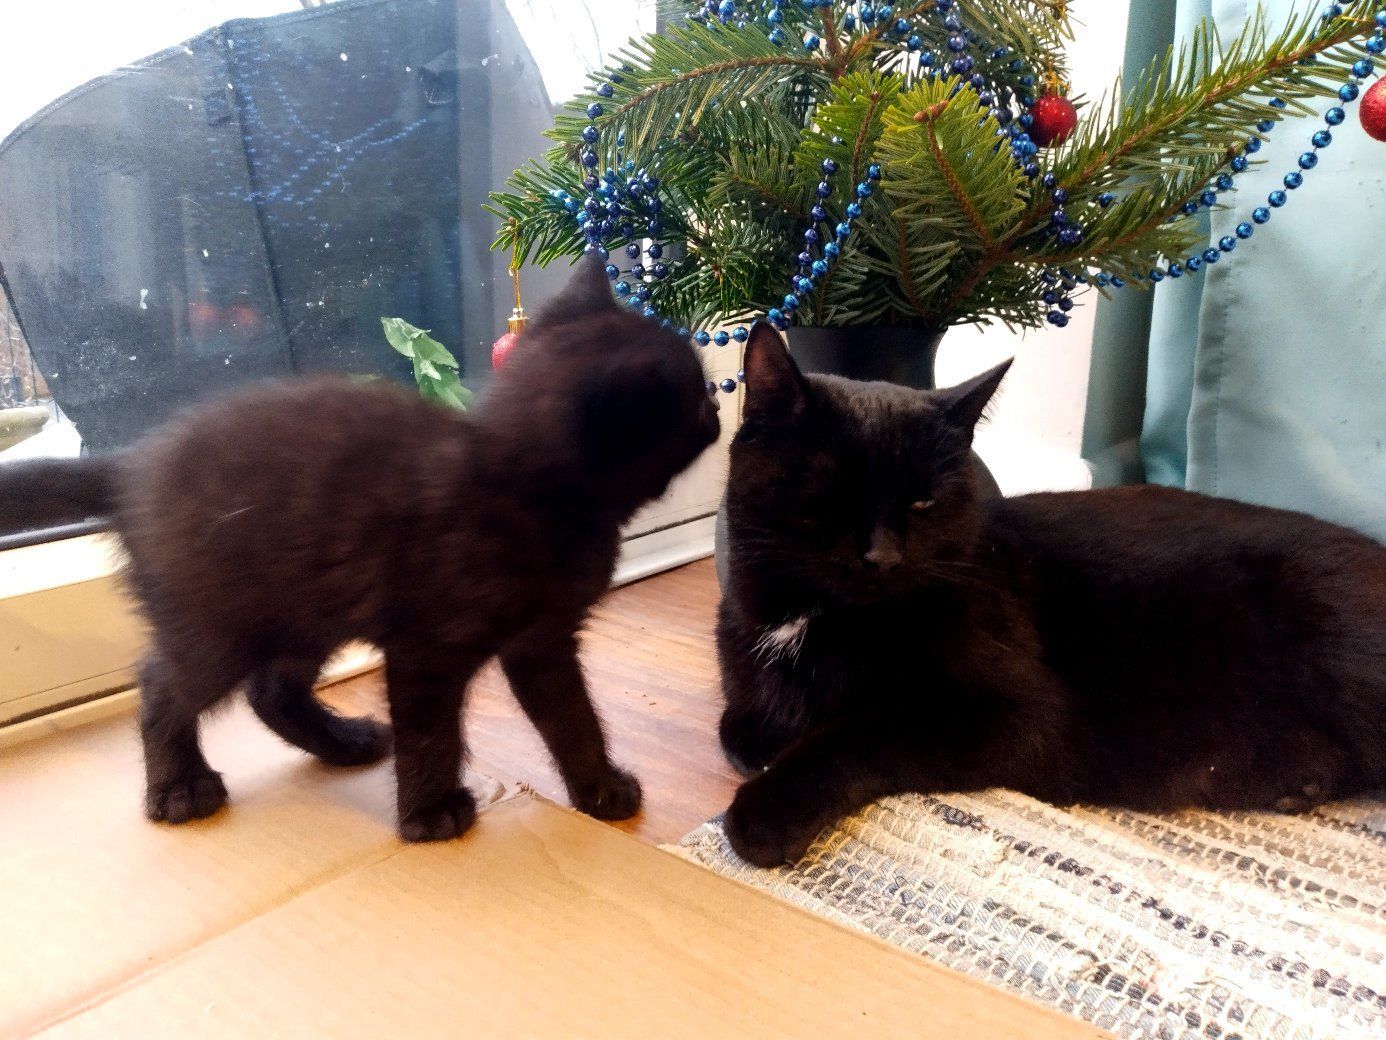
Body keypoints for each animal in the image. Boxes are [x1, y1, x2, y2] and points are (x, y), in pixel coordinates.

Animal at [0, 257, 720, 842]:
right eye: (695, 394)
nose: (719, 411)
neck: (522, 490)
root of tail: (132, 465)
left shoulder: (541, 641)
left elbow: (572, 716)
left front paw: (599, 789)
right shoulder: (425, 646)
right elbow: (430, 730)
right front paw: (430, 814)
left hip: (302, 612)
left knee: (270, 690)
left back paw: (342, 741)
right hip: (219, 624)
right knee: (162, 685)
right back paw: (179, 788)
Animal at [715, 323, 1386, 867]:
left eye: (923, 501)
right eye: (833, 494)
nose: (882, 557)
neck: (812, 620)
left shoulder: (1010, 714)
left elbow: (855, 734)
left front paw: (766, 813)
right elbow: (739, 728)